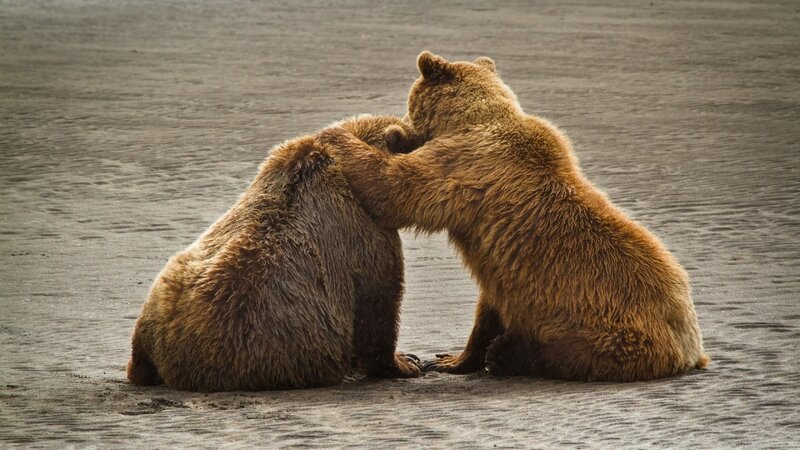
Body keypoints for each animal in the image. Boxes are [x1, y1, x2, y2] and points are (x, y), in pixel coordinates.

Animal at [316, 51, 709, 382]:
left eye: (409, 103)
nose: (400, 126)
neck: (473, 120)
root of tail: (692, 350)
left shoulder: (464, 166)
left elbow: (396, 188)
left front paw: (336, 133)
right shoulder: (499, 270)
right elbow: (487, 309)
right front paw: (450, 359)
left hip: (610, 333)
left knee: (570, 353)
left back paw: (509, 354)